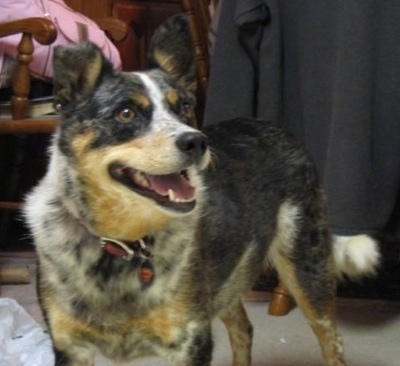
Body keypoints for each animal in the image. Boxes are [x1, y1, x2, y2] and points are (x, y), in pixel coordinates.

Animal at [23, 13, 380, 366]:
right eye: (126, 113)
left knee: (331, 340)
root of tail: (275, 126)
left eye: (183, 107)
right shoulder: (70, 346)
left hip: (305, 264)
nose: (195, 141)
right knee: (243, 328)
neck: (122, 243)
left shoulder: (189, 341)